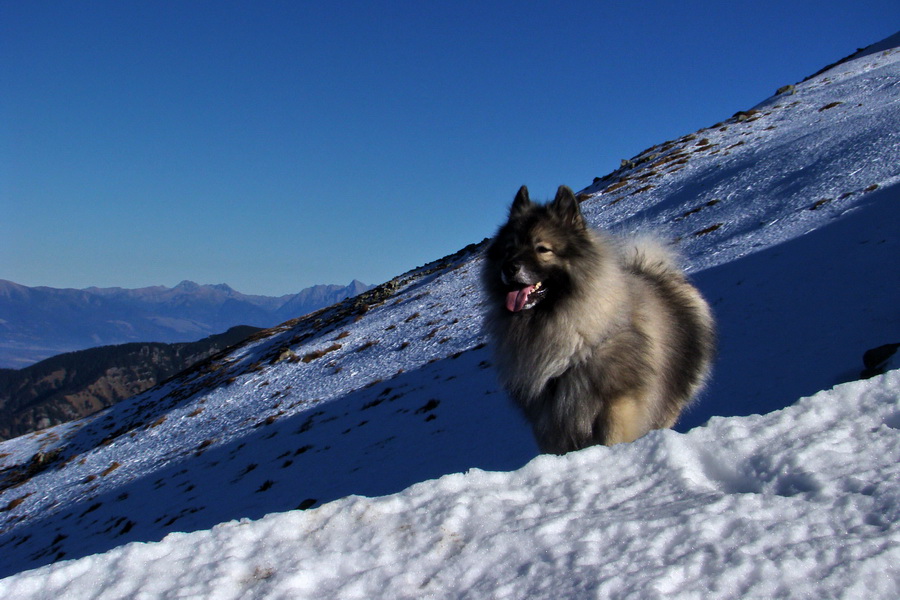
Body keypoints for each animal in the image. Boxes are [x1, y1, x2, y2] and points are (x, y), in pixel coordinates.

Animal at [482, 185, 712, 452]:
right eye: (509, 249)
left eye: (542, 249)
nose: (509, 267)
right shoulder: (549, 419)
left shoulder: (617, 402)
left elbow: (613, 436)